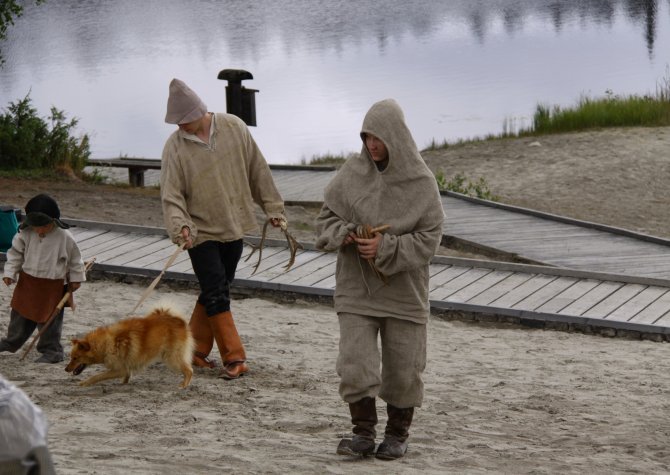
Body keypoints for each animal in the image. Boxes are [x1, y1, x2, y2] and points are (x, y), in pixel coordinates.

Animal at [65, 306, 194, 388]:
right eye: (71, 357)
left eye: (75, 358)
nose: (65, 369)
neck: (106, 343)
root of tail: (179, 321)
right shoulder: (125, 367)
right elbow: (127, 374)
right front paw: (124, 383)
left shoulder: (119, 369)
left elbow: (98, 376)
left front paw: (85, 383)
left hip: (171, 358)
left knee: (189, 370)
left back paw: (183, 385)